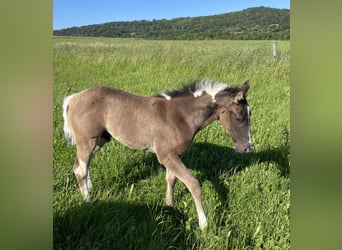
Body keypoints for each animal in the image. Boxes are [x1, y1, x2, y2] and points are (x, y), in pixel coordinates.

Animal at [62, 79, 252, 230]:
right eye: (239, 117)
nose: (247, 148)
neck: (180, 117)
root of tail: (74, 98)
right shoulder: (166, 156)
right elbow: (194, 184)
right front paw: (204, 224)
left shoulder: (175, 156)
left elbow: (171, 179)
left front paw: (170, 206)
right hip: (87, 141)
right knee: (80, 169)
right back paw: (89, 202)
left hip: (100, 140)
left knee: (83, 165)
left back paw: (91, 189)